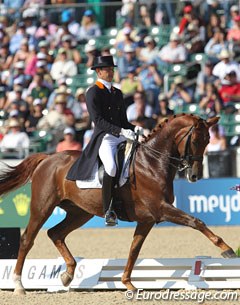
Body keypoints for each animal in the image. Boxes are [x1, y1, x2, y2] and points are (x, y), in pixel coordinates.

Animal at [0, 113, 236, 292]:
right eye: (195, 141)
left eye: (208, 141)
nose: (195, 176)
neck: (152, 162)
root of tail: (48, 158)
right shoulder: (161, 209)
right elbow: (196, 221)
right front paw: (227, 250)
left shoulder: (147, 219)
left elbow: (134, 250)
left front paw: (128, 283)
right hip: (42, 208)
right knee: (27, 239)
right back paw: (19, 285)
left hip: (80, 212)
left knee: (55, 233)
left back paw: (68, 274)